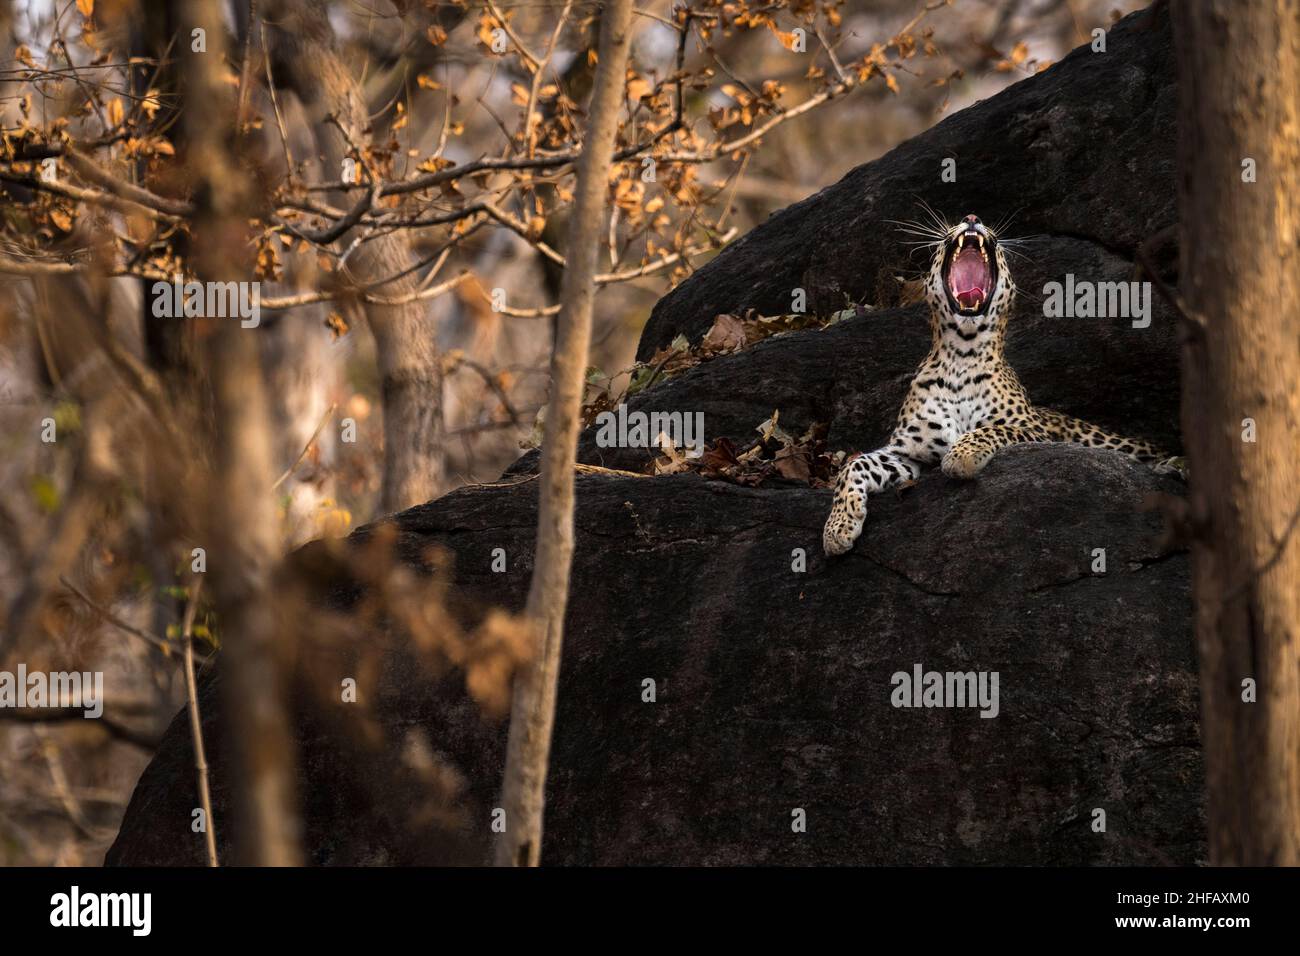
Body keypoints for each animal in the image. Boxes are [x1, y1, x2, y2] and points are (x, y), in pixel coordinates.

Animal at [822, 212, 1184, 557]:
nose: (971, 218)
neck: (961, 355)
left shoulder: (1035, 431)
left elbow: (991, 429)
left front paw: (961, 456)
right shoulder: (907, 453)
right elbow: (853, 464)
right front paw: (837, 529)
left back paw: (1174, 466)